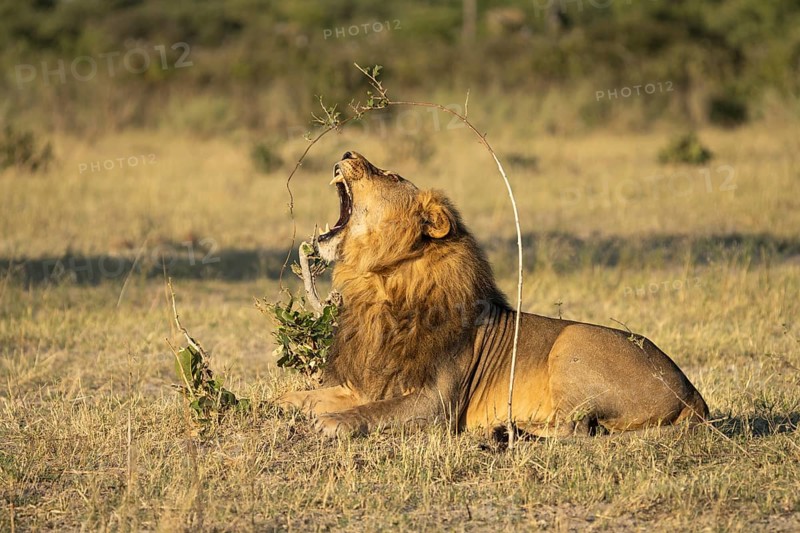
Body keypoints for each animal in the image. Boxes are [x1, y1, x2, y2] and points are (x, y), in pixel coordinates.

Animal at [279, 151, 709, 438]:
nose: (347, 153)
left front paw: (332, 422)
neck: (380, 283)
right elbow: (300, 395)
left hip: (573, 341)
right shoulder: (359, 384)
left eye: (394, 175)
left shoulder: (436, 405)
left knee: (579, 429)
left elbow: (372, 412)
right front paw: (281, 406)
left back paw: (506, 430)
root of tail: (694, 397)